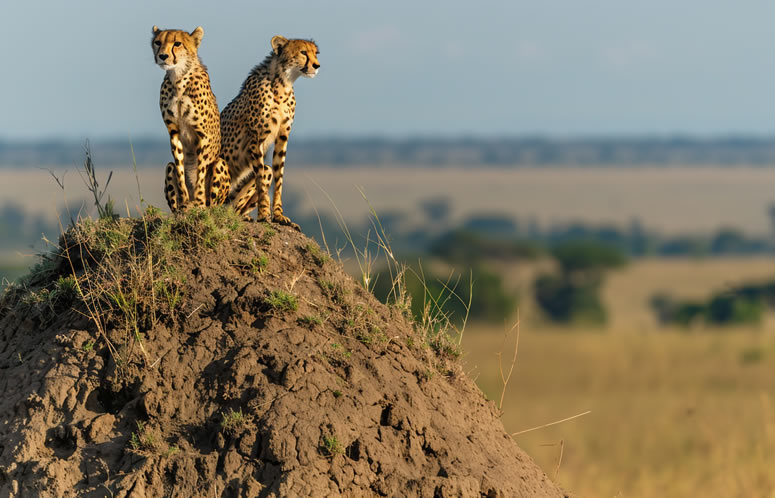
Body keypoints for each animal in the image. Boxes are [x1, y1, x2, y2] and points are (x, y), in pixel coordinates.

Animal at [151, 25, 230, 212]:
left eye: (177, 43)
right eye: (158, 42)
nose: (162, 56)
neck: (178, 78)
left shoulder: (203, 135)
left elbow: (201, 170)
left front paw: (199, 201)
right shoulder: (173, 131)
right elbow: (180, 169)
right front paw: (186, 200)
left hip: (220, 164)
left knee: (213, 204)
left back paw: (205, 205)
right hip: (168, 168)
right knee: (172, 167)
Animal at [220, 36, 320, 228]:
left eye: (316, 53)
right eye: (303, 52)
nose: (317, 65)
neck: (283, 83)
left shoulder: (283, 136)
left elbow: (278, 177)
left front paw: (279, 215)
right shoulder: (256, 139)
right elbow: (260, 181)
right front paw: (264, 215)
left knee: (236, 207)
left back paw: (242, 216)